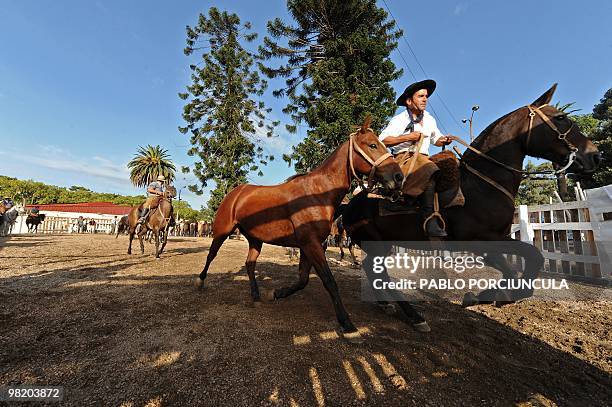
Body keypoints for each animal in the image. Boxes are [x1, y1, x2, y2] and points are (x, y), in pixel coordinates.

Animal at [197, 117, 406, 334]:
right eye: (372, 145)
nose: (399, 176)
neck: (317, 194)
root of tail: (236, 192)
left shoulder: (309, 245)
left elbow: (303, 279)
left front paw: (278, 293)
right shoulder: (311, 244)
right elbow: (329, 281)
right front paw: (346, 321)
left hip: (255, 239)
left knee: (249, 264)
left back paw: (255, 294)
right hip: (222, 231)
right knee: (211, 254)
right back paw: (200, 281)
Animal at [342, 84, 600, 334]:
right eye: (561, 117)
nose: (594, 156)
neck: (482, 183)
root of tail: (349, 205)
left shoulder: (498, 238)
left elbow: (525, 261)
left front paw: (487, 296)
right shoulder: (481, 241)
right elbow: (523, 263)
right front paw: (493, 295)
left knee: (374, 270)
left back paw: (390, 305)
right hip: (376, 243)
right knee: (377, 272)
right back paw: (413, 316)